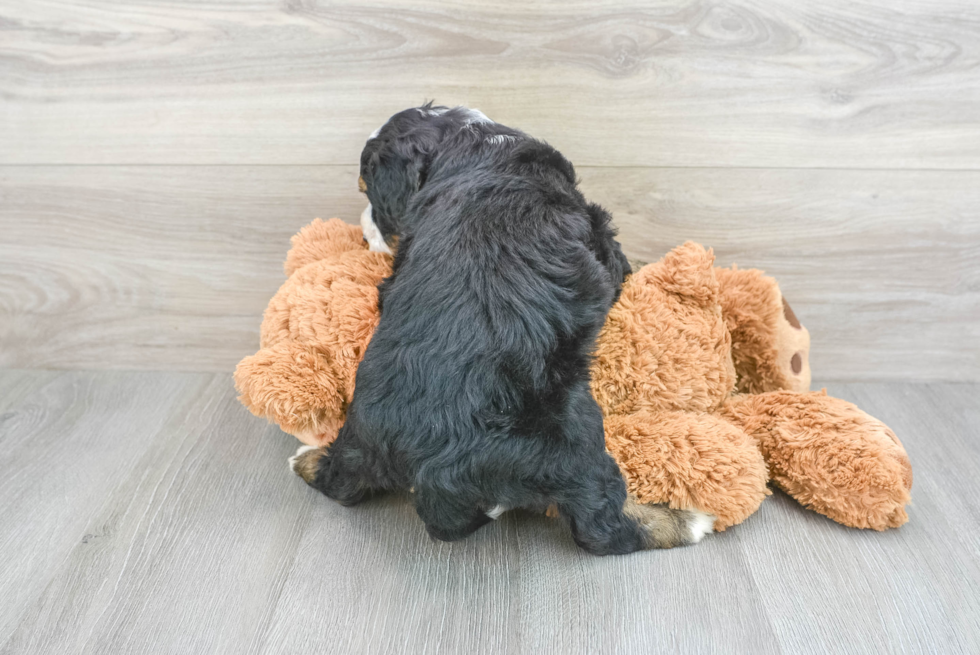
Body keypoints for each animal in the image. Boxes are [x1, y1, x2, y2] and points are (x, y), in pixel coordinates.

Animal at [290, 105, 712, 556]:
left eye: (370, 195)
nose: (366, 230)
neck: (468, 142)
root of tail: (433, 469)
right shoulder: (597, 231)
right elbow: (618, 260)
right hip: (573, 440)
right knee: (602, 527)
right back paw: (687, 520)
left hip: (360, 441)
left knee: (339, 482)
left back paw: (307, 458)